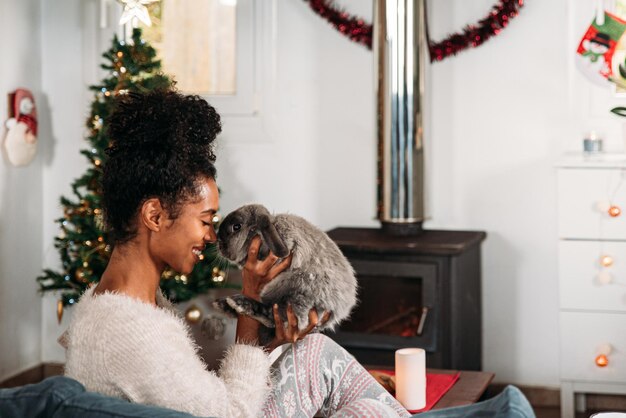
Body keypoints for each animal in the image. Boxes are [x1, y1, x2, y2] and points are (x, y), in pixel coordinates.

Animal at [211, 204, 354, 342]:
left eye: (236, 227)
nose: (219, 245)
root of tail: (342, 310)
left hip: (297, 289)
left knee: (273, 314)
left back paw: (237, 303)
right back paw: (224, 304)